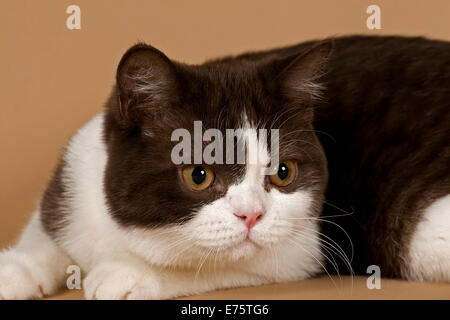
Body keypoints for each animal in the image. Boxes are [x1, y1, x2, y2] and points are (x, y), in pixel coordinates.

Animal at [0, 36, 450, 298]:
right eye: (198, 175)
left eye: (283, 173)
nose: (251, 215)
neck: (128, 232)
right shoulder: (74, 178)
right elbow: (47, 228)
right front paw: (17, 268)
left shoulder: (306, 245)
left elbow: (219, 263)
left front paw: (130, 273)